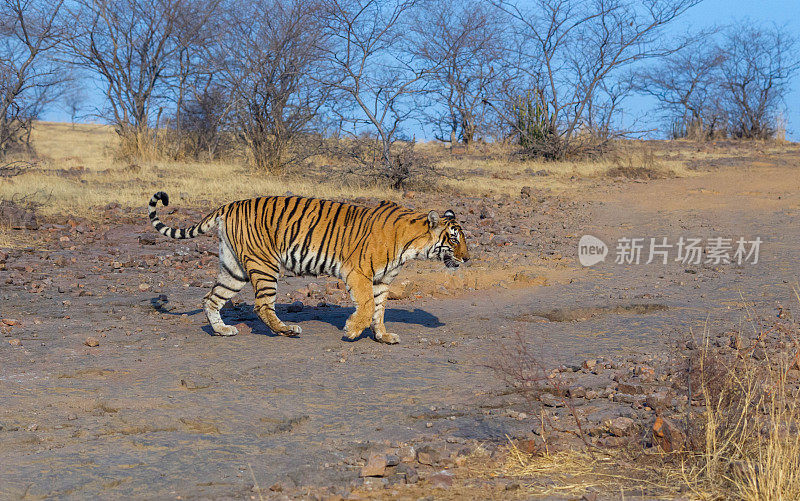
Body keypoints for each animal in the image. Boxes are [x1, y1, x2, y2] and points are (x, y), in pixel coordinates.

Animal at [148, 192, 468, 344]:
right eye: (454, 238)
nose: (466, 259)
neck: (412, 245)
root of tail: (229, 205)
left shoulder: (381, 281)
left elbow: (379, 311)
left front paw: (383, 337)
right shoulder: (358, 273)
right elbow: (366, 307)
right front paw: (352, 331)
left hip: (234, 268)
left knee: (211, 298)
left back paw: (223, 330)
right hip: (264, 265)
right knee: (262, 305)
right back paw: (287, 330)